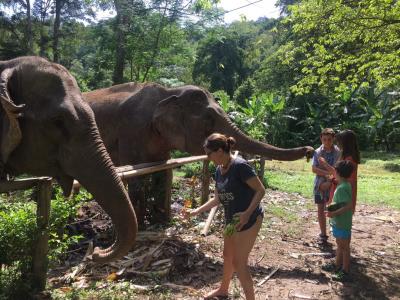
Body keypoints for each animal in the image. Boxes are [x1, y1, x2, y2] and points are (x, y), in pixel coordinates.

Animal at [83, 83, 316, 224]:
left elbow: (160, 172)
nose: (309, 150)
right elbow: (135, 175)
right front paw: (141, 226)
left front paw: (159, 221)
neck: (168, 92)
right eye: (209, 119)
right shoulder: (131, 131)